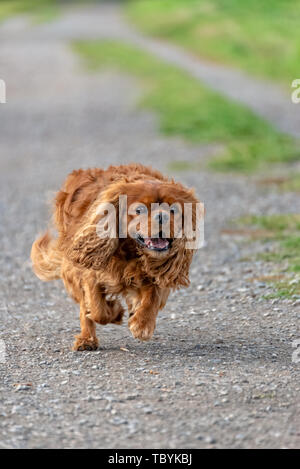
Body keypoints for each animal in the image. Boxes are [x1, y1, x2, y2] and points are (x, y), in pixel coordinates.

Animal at [31, 163, 202, 350]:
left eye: (173, 210)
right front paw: (115, 312)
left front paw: (142, 324)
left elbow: (153, 296)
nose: (162, 216)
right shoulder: (89, 272)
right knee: (85, 307)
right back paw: (87, 340)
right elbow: (97, 310)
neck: (132, 253)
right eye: (139, 210)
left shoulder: (157, 271)